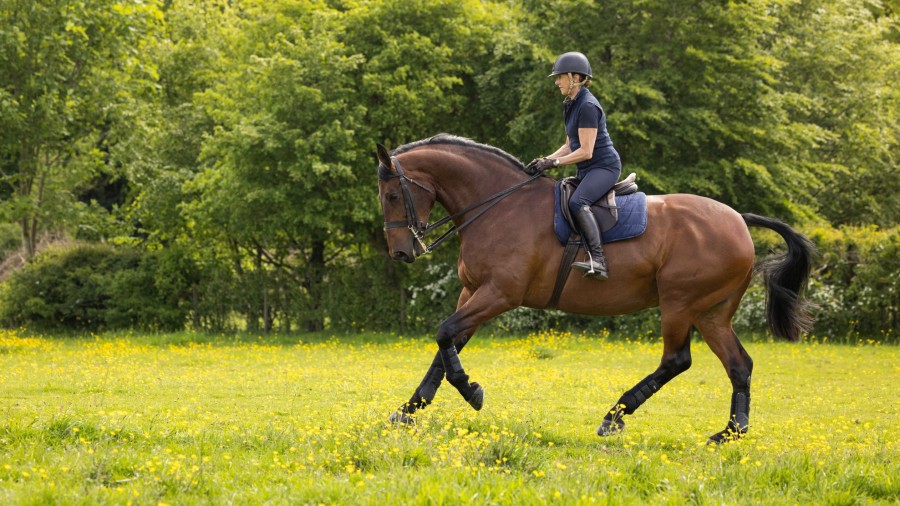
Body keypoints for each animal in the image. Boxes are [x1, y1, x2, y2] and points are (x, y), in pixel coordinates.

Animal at [374, 133, 816, 442]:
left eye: (393, 194)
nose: (401, 252)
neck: (498, 207)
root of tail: (738, 219)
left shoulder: (499, 294)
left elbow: (445, 333)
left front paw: (471, 391)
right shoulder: (472, 293)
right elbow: (446, 346)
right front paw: (408, 410)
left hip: (680, 303)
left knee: (677, 360)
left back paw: (615, 415)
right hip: (711, 312)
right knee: (739, 365)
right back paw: (730, 432)